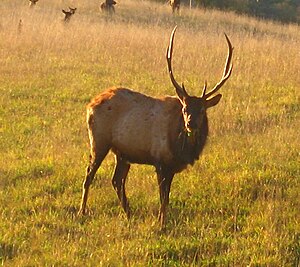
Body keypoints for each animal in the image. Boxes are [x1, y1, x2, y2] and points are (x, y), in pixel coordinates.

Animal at [78, 26, 233, 228]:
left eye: (202, 110)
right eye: (184, 108)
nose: (190, 124)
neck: (180, 149)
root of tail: (90, 104)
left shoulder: (172, 166)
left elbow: (167, 197)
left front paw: (162, 221)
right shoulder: (160, 161)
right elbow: (163, 198)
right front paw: (161, 224)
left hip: (122, 153)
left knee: (117, 180)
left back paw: (129, 213)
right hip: (98, 141)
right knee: (89, 174)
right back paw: (82, 212)